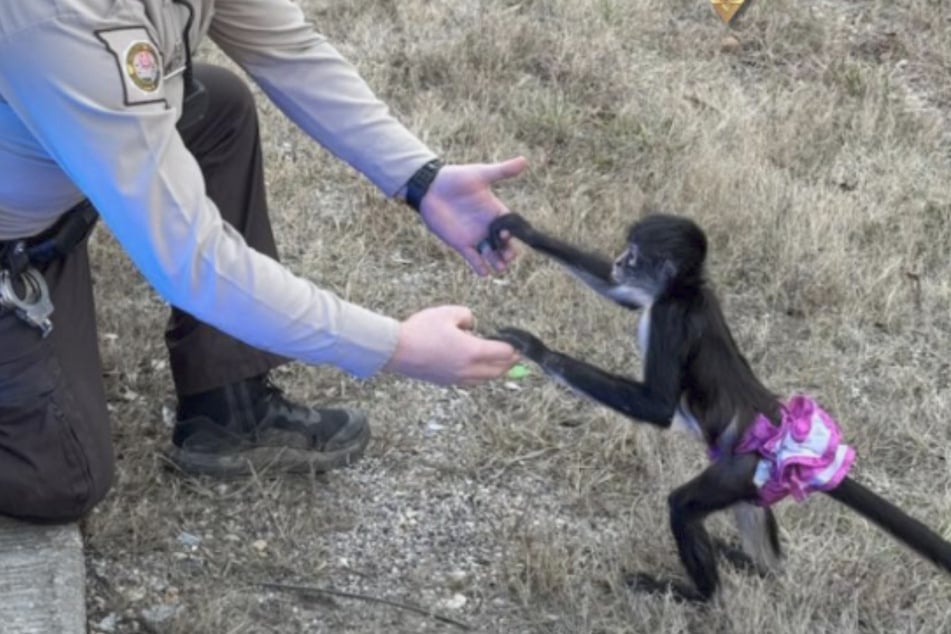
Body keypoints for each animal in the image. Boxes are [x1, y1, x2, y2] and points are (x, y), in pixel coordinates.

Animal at [488, 210, 951, 600]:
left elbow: (657, 407)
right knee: (752, 517)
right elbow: (622, 294)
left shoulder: (670, 318)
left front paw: (537, 349)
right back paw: (759, 569)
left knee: (682, 507)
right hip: (754, 478)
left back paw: (700, 597)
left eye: (633, 255)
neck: (685, 292)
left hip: (738, 469)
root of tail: (780, 425)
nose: (619, 261)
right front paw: (523, 229)